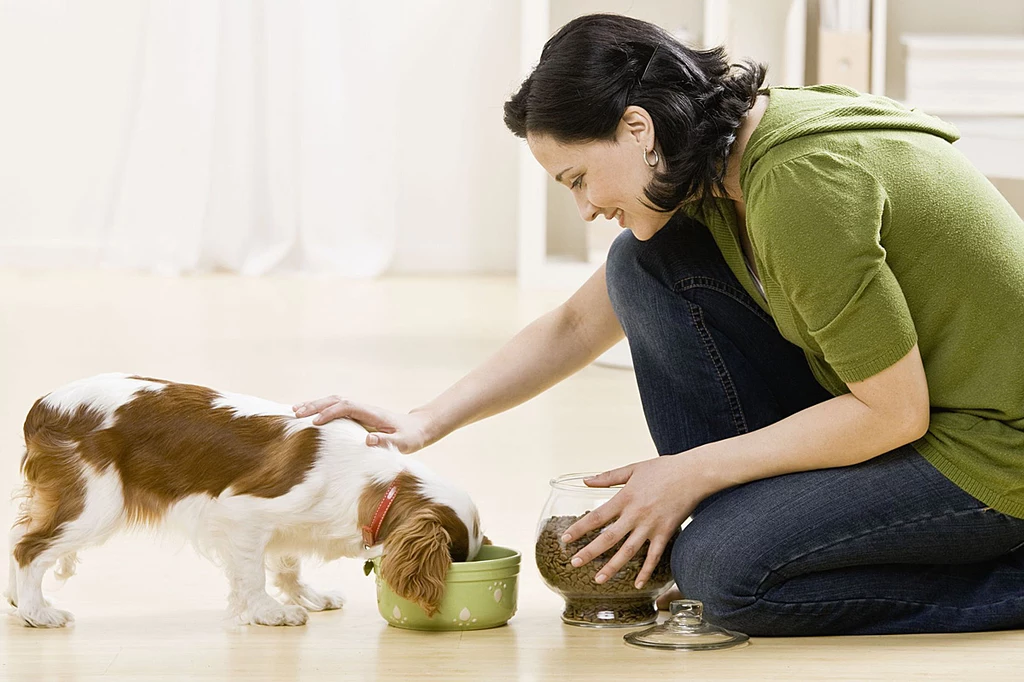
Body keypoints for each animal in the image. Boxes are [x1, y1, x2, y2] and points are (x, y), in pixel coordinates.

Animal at [7, 372, 487, 626]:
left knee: (18, 538)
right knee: (28, 548)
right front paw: (271, 612)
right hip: (96, 507)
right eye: (455, 558)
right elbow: (253, 574)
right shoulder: (242, 514)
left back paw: (16, 600)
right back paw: (37, 612)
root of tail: (43, 405)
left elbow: (287, 564)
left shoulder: (286, 524)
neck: (374, 483)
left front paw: (307, 596)